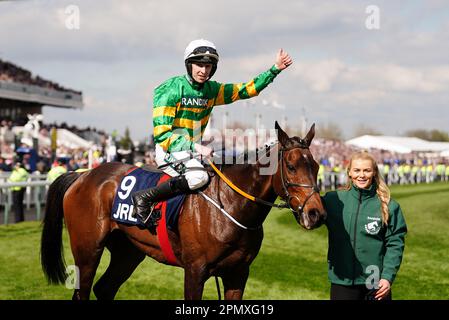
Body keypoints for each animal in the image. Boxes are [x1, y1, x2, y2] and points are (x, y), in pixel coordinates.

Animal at [40, 122, 326, 300]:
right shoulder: (195, 270)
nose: (316, 214)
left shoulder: (238, 273)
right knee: (83, 291)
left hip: (127, 252)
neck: (230, 207)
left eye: (315, 166)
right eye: (291, 166)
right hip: (87, 250)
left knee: (104, 288)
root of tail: (82, 175)